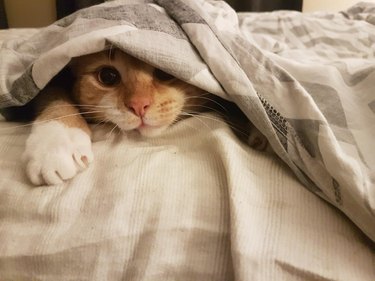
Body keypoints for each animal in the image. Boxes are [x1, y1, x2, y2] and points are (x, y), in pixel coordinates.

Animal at [21, 49, 270, 185]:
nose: (139, 106)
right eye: (108, 76)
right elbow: (52, 94)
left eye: (166, 71)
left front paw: (260, 129)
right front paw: (55, 144)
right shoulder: (52, 76)